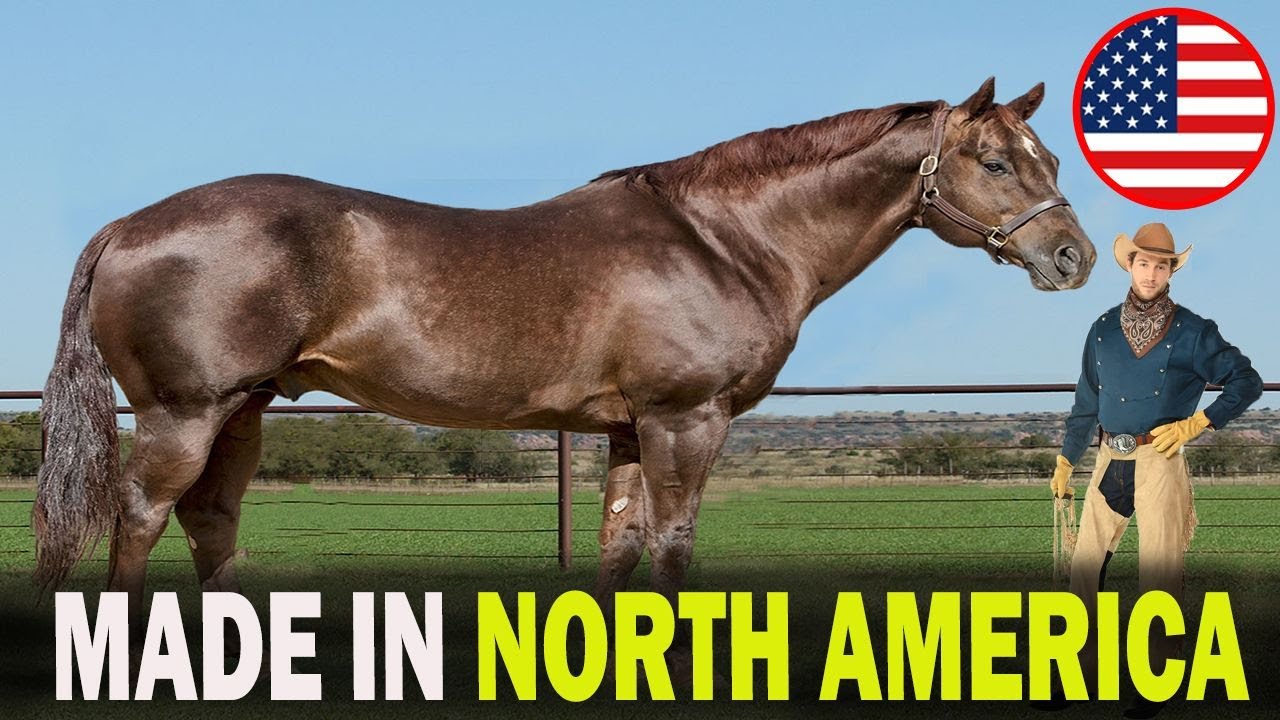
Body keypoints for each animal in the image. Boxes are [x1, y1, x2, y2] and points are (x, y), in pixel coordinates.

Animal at [34, 78, 1094, 625]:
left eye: (1046, 156)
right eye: (995, 161)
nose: (1073, 257)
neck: (722, 239)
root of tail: (128, 224)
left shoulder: (627, 429)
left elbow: (619, 546)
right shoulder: (685, 420)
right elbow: (673, 545)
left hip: (245, 409)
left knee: (209, 524)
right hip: (184, 412)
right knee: (142, 519)